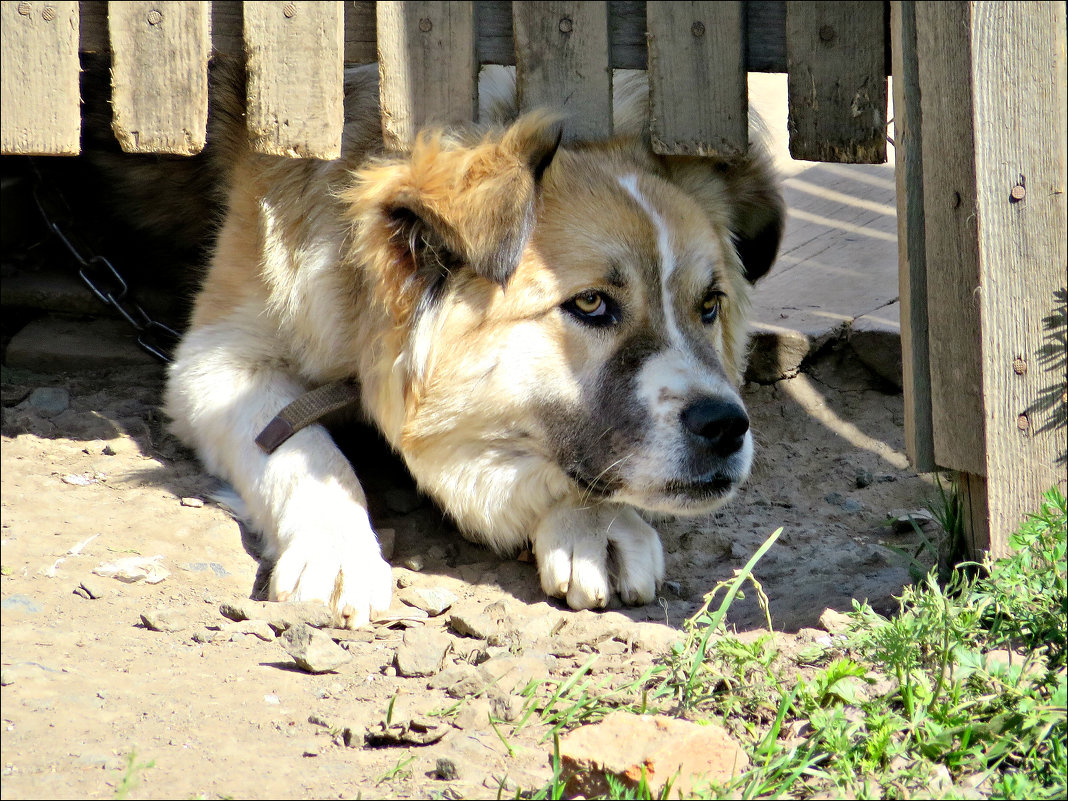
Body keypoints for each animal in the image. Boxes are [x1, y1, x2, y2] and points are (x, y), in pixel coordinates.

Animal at [160, 62, 786, 627]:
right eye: (590, 304)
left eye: (709, 306)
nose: (727, 426)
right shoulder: (218, 359)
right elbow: (306, 449)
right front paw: (337, 550)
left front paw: (591, 523)